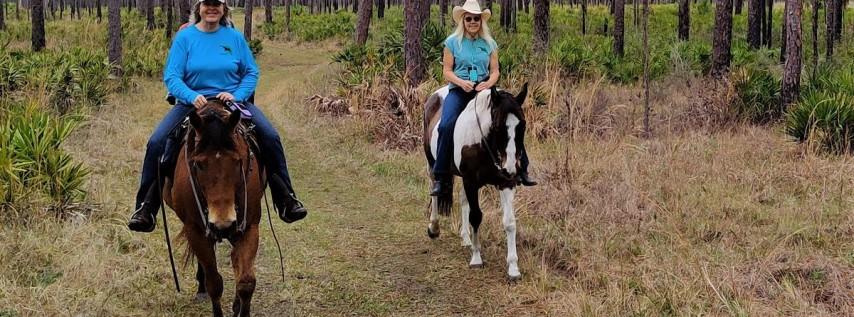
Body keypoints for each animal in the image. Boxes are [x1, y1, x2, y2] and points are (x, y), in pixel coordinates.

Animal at [422, 83, 528, 278]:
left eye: (522, 126)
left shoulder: (506, 183)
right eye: (498, 126)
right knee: (434, 192)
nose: (510, 168)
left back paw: (466, 239)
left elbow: (509, 222)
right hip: (432, 165)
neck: (483, 142)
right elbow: (476, 216)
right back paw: (434, 228)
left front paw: (513, 268)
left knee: (463, 200)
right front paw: (477, 258)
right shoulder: (471, 181)